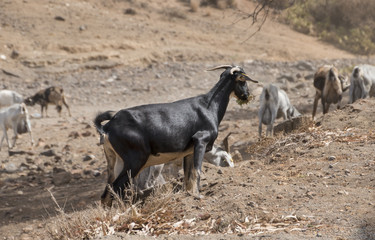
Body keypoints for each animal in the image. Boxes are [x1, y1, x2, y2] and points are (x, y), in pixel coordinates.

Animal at [94, 65, 258, 206]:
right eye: (243, 80)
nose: (246, 95)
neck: (209, 106)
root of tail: (108, 126)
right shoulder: (200, 141)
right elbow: (197, 171)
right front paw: (198, 195)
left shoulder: (189, 152)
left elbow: (188, 178)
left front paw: (191, 195)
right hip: (135, 161)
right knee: (116, 188)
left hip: (115, 162)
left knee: (106, 193)